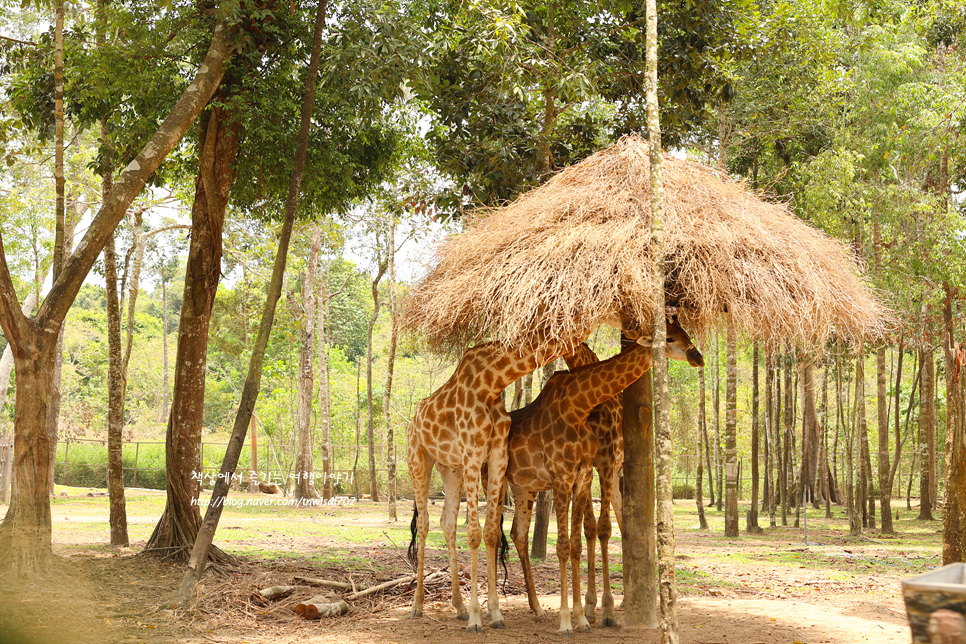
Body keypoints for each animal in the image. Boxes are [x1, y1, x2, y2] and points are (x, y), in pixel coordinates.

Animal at [408, 314, 644, 632]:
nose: (637, 327)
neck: (491, 381)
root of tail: (413, 419)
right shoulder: (475, 453)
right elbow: (477, 533)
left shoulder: (498, 454)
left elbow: (492, 532)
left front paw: (495, 613)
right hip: (420, 459)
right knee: (425, 524)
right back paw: (419, 606)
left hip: (452, 469)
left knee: (451, 523)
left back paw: (460, 607)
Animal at [506, 318, 704, 632]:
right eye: (670, 337)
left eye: (683, 332)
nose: (698, 357)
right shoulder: (586, 469)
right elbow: (584, 534)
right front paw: (588, 610)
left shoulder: (597, 467)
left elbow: (594, 533)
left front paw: (597, 609)